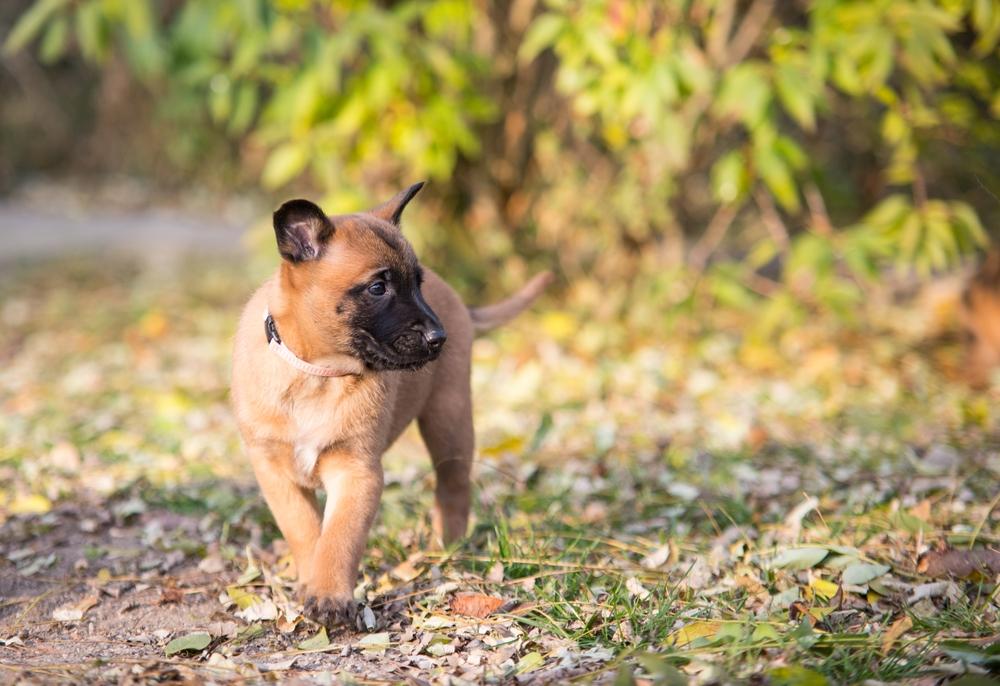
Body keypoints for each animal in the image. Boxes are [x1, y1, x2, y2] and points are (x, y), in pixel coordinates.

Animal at [231, 184, 552, 628]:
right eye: (378, 288)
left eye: (418, 284)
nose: (439, 338)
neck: (318, 374)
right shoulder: (276, 473)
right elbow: (306, 531)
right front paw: (313, 581)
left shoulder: (357, 473)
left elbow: (340, 539)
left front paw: (329, 595)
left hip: (448, 420)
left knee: (453, 487)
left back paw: (448, 547)